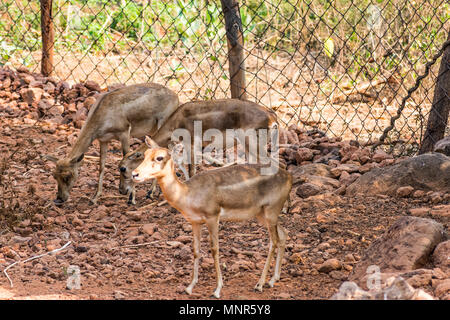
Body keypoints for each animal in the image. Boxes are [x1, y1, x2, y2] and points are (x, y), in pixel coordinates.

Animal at [44, 84, 179, 204]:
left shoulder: (125, 132)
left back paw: (150, 192)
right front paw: (94, 198)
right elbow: (101, 166)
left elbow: (127, 158)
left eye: (67, 176)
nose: (59, 199)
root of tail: (176, 97)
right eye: (54, 175)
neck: (103, 115)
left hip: (163, 124)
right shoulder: (103, 140)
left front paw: (131, 198)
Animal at [118, 97, 278, 204]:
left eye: (123, 168)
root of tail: (272, 116)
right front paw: (150, 193)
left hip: (252, 145)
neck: (176, 121)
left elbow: (191, 171)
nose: (121, 190)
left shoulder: (192, 145)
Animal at [131, 136, 292, 298]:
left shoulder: (212, 217)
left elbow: (215, 249)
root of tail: (288, 177)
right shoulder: (195, 222)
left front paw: (217, 290)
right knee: (284, 234)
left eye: (159, 157)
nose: (135, 174)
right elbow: (196, 250)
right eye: (144, 154)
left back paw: (260, 284)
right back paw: (273, 279)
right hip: (262, 214)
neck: (187, 193)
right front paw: (189, 287)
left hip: (271, 211)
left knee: (274, 241)